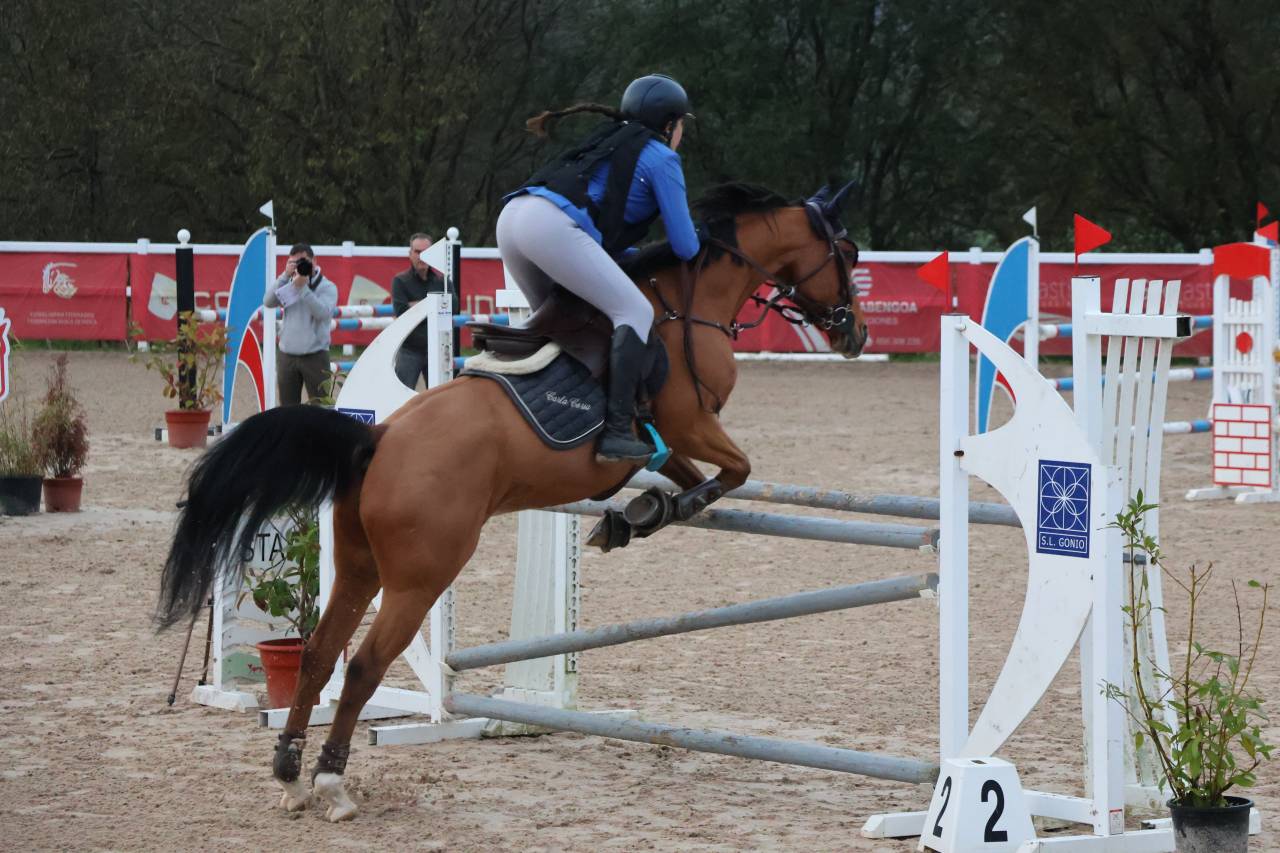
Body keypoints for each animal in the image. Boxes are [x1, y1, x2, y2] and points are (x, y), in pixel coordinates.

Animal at [156, 180, 868, 821]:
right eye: (849, 253)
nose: (856, 333)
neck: (685, 308)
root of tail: (378, 438)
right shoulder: (690, 420)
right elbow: (735, 470)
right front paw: (653, 512)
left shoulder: (664, 441)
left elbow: (683, 475)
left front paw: (635, 516)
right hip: (420, 577)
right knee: (361, 666)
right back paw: (333, 785)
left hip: (359, 566)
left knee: (319, 653)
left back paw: (290, 773)